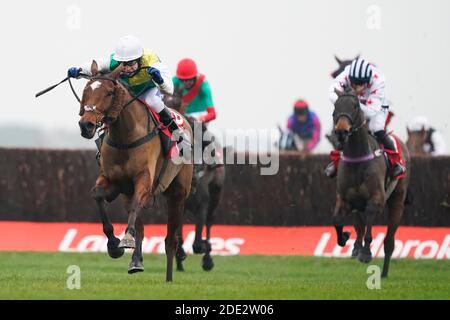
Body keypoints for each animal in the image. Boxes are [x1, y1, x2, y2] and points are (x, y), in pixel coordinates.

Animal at [78, 61, 193, 282]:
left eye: (109, 93)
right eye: (86, 91)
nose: (86, 125)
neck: (125, 137)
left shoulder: (144, 180)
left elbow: (138, 206)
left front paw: (125, 240)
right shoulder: (113, 181)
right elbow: (97, 195)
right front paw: (114, 245)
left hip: (179, 193)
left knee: (170, 240)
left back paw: (169, 278)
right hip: (127, 193)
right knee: (140, 225)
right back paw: (136, 262)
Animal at [163, 87, 227, 270]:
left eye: (176, 102)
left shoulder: (202, 202)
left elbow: (198, 241)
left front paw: (205, 247)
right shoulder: (178, 200)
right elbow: (178, 233)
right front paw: (180, 254)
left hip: (217, 191)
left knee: (210, 220)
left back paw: (208, 258)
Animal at [332, 87, 410, 278]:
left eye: (355, 106)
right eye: (336, 105)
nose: (341, 132)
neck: (357, 158)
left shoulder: (376, 199)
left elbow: (369, 222)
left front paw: (366, 253)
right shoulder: (344, 199)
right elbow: (337, 220)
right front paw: (345, 237)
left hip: (397, 201)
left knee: (389, 241)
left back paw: (384, 273)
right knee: (359, 225)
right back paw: (356, 248)